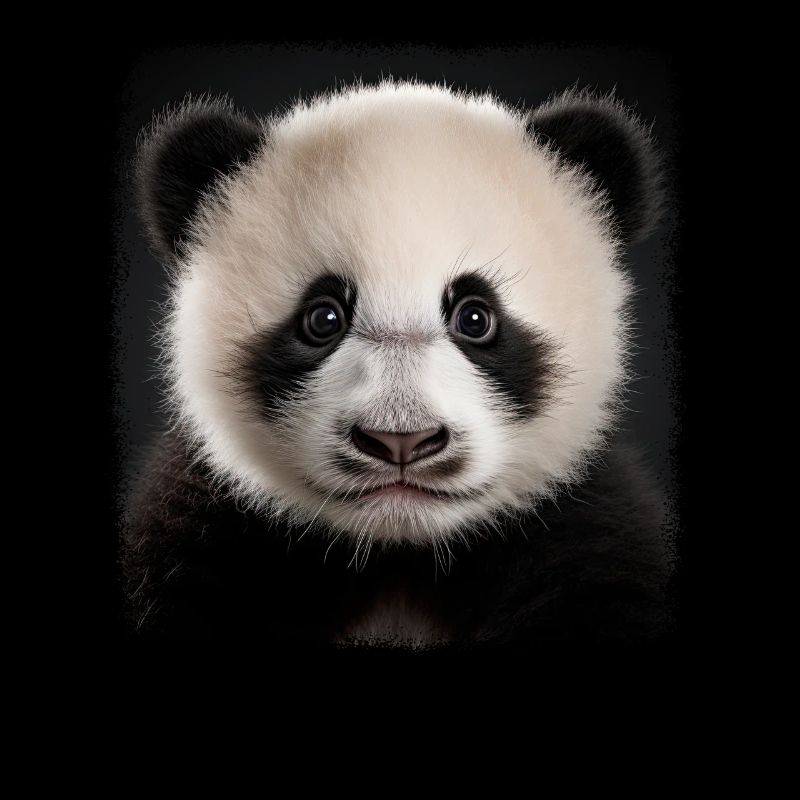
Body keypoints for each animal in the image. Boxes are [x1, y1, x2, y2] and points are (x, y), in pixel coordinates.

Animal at [122, 79, 671, 648]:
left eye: (476, 318)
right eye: (323, 318)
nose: (400, 441)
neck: (399, 558)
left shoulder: (586, 541)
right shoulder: (204, 540)